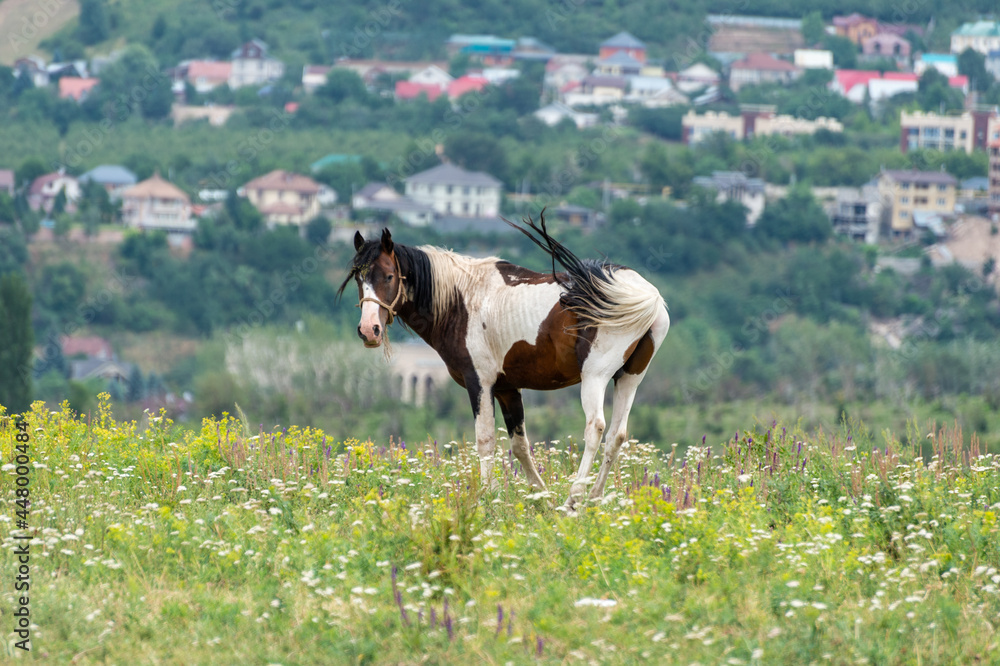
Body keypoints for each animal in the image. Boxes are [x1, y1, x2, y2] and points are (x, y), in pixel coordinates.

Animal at [340, 215, 668, 506]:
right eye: (359, 277)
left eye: (389, 276)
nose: (369, 329)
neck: (462, 299)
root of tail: (645, 295)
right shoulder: (508, 389)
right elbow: (520, 446)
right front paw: (541, 498)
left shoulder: (480, 383)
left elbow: (485, 441)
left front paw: (487, 498)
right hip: (628, 379)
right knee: (616, 435)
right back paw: (595, 498)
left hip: (595, 378)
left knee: (595, 430)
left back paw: (575, 499)